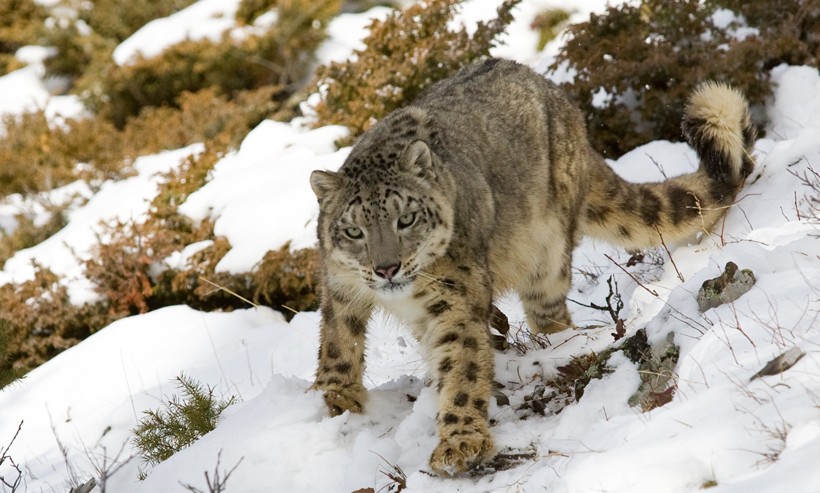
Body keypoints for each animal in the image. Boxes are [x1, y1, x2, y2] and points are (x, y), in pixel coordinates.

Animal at [308, 58, 756, 476]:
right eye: (353, 230)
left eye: (406, 219)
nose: (386, 268)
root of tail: (564, 104)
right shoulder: (339, 288)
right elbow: (338, 347)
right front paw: (338, 403)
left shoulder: (456, 300)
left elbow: (463, 365)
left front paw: (459, 443)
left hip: (549, 255)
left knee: (551, 314)